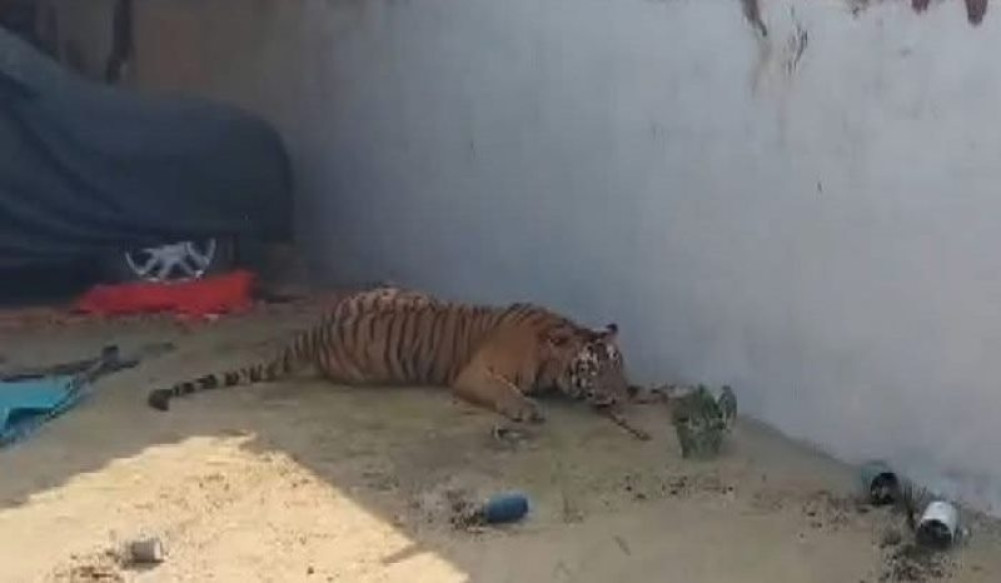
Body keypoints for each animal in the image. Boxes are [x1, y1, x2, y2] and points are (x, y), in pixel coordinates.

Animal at [147, 287, 641, 434]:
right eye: (596, 369)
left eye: (620, 364)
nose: (625, 395)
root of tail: (317, 329)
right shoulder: (474, 374)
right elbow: (504, 390)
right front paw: (527, 409)